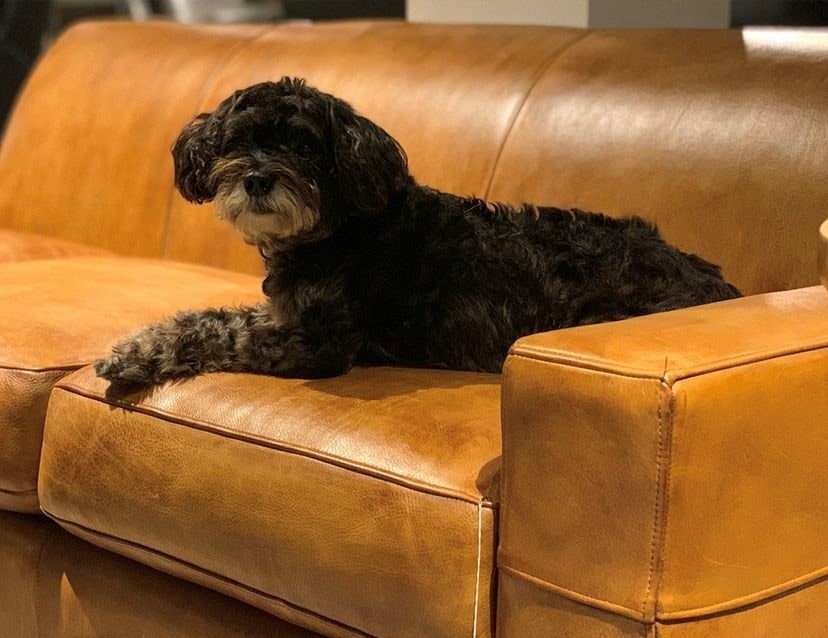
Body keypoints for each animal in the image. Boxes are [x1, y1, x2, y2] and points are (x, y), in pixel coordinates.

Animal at [94, 77, 740, 388]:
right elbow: (208, 316)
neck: (342, 232)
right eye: (239, 139)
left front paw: (138, 356)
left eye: (305, 147)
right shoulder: (287, 312)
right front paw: (141, 342)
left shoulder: (318, 341)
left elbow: (225, 333)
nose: (257, 179)